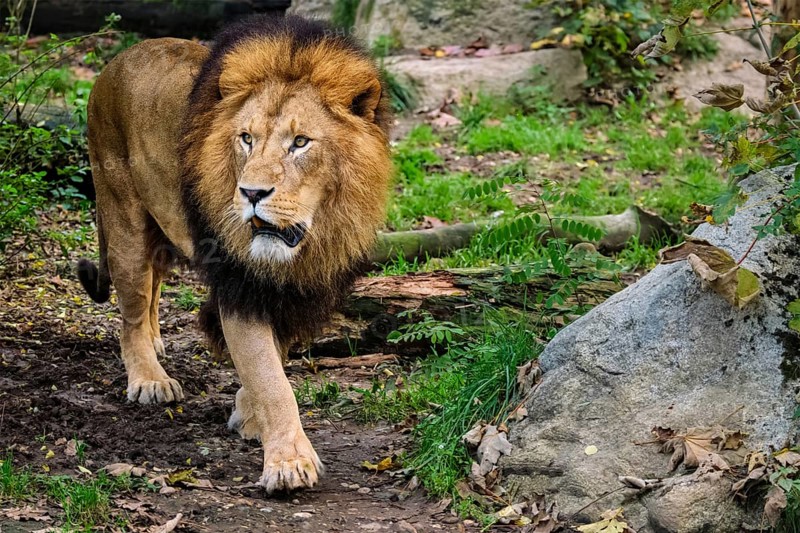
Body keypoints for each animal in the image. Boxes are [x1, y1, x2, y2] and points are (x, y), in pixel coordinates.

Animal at [76, 15, 392, 493]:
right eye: (246, 139)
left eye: (301, 142)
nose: (251, 193)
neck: (312, 236)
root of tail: (117, 59)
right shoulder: (239, 286)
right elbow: (271, 379)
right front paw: (288, 463)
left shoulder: (288, 291)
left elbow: (272, 359)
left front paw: (249, 415)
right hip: (122, 217)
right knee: (130, 311)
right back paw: (149, 378)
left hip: (161, 230)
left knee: (154, 285)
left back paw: (156, 338)